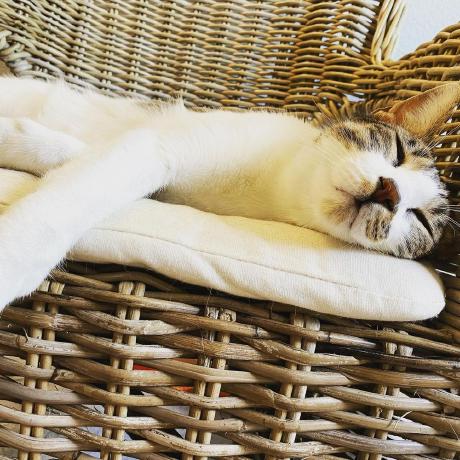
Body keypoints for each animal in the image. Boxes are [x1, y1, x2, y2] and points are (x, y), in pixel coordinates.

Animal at [0, 77, 456, 311]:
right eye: (396, 153)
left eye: (418, 219)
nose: (390, 193)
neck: (276, 186)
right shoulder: (159, 144)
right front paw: (14, 258)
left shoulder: (154, 156)